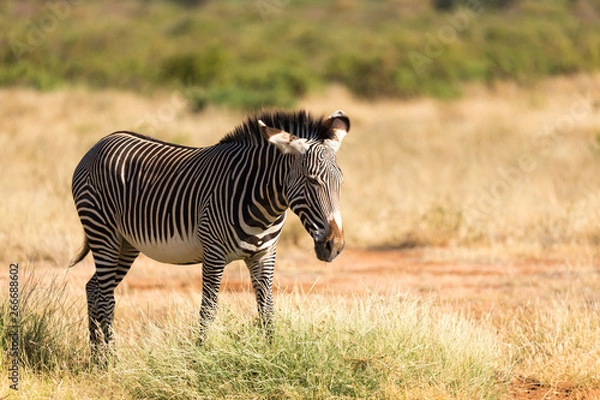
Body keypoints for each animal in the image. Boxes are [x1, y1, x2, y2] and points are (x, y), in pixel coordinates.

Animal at [70, 108, 350, 354]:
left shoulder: (265, 254)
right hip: (102, 231)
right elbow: (208, 309)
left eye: (340, 182)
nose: (334, 246)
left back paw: (96, 358)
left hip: (126, 244)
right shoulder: (214, 253)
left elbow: (267, 308)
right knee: (106, 297)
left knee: (94, 288)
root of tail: (102, 142)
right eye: (312, 180)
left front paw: (273, 354)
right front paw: (200, 356)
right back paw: (111, 361)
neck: (262, 204)